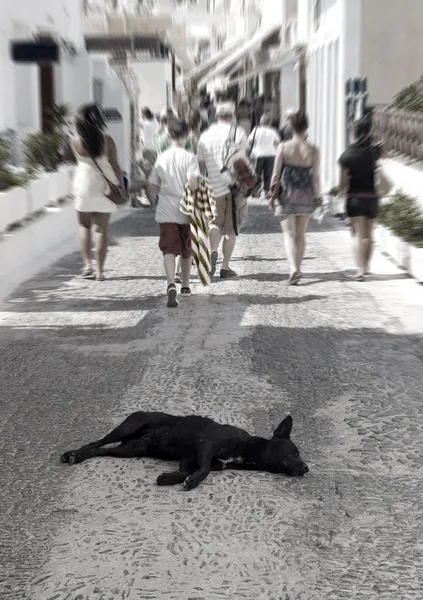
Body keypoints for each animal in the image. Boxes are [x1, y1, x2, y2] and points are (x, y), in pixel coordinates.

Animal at [60, 410, 308, 490]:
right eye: (295, 451)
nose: (306, 468)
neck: (247, 450)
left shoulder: (191, 459)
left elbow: (188, 470)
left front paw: (169, 478)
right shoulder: (206, 444)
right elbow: (204, 470)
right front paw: (193, 481)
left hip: (133, 448)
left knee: (101, 452)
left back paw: (78, 456)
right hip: (127, 428)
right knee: (96, 443)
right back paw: (73, 453)